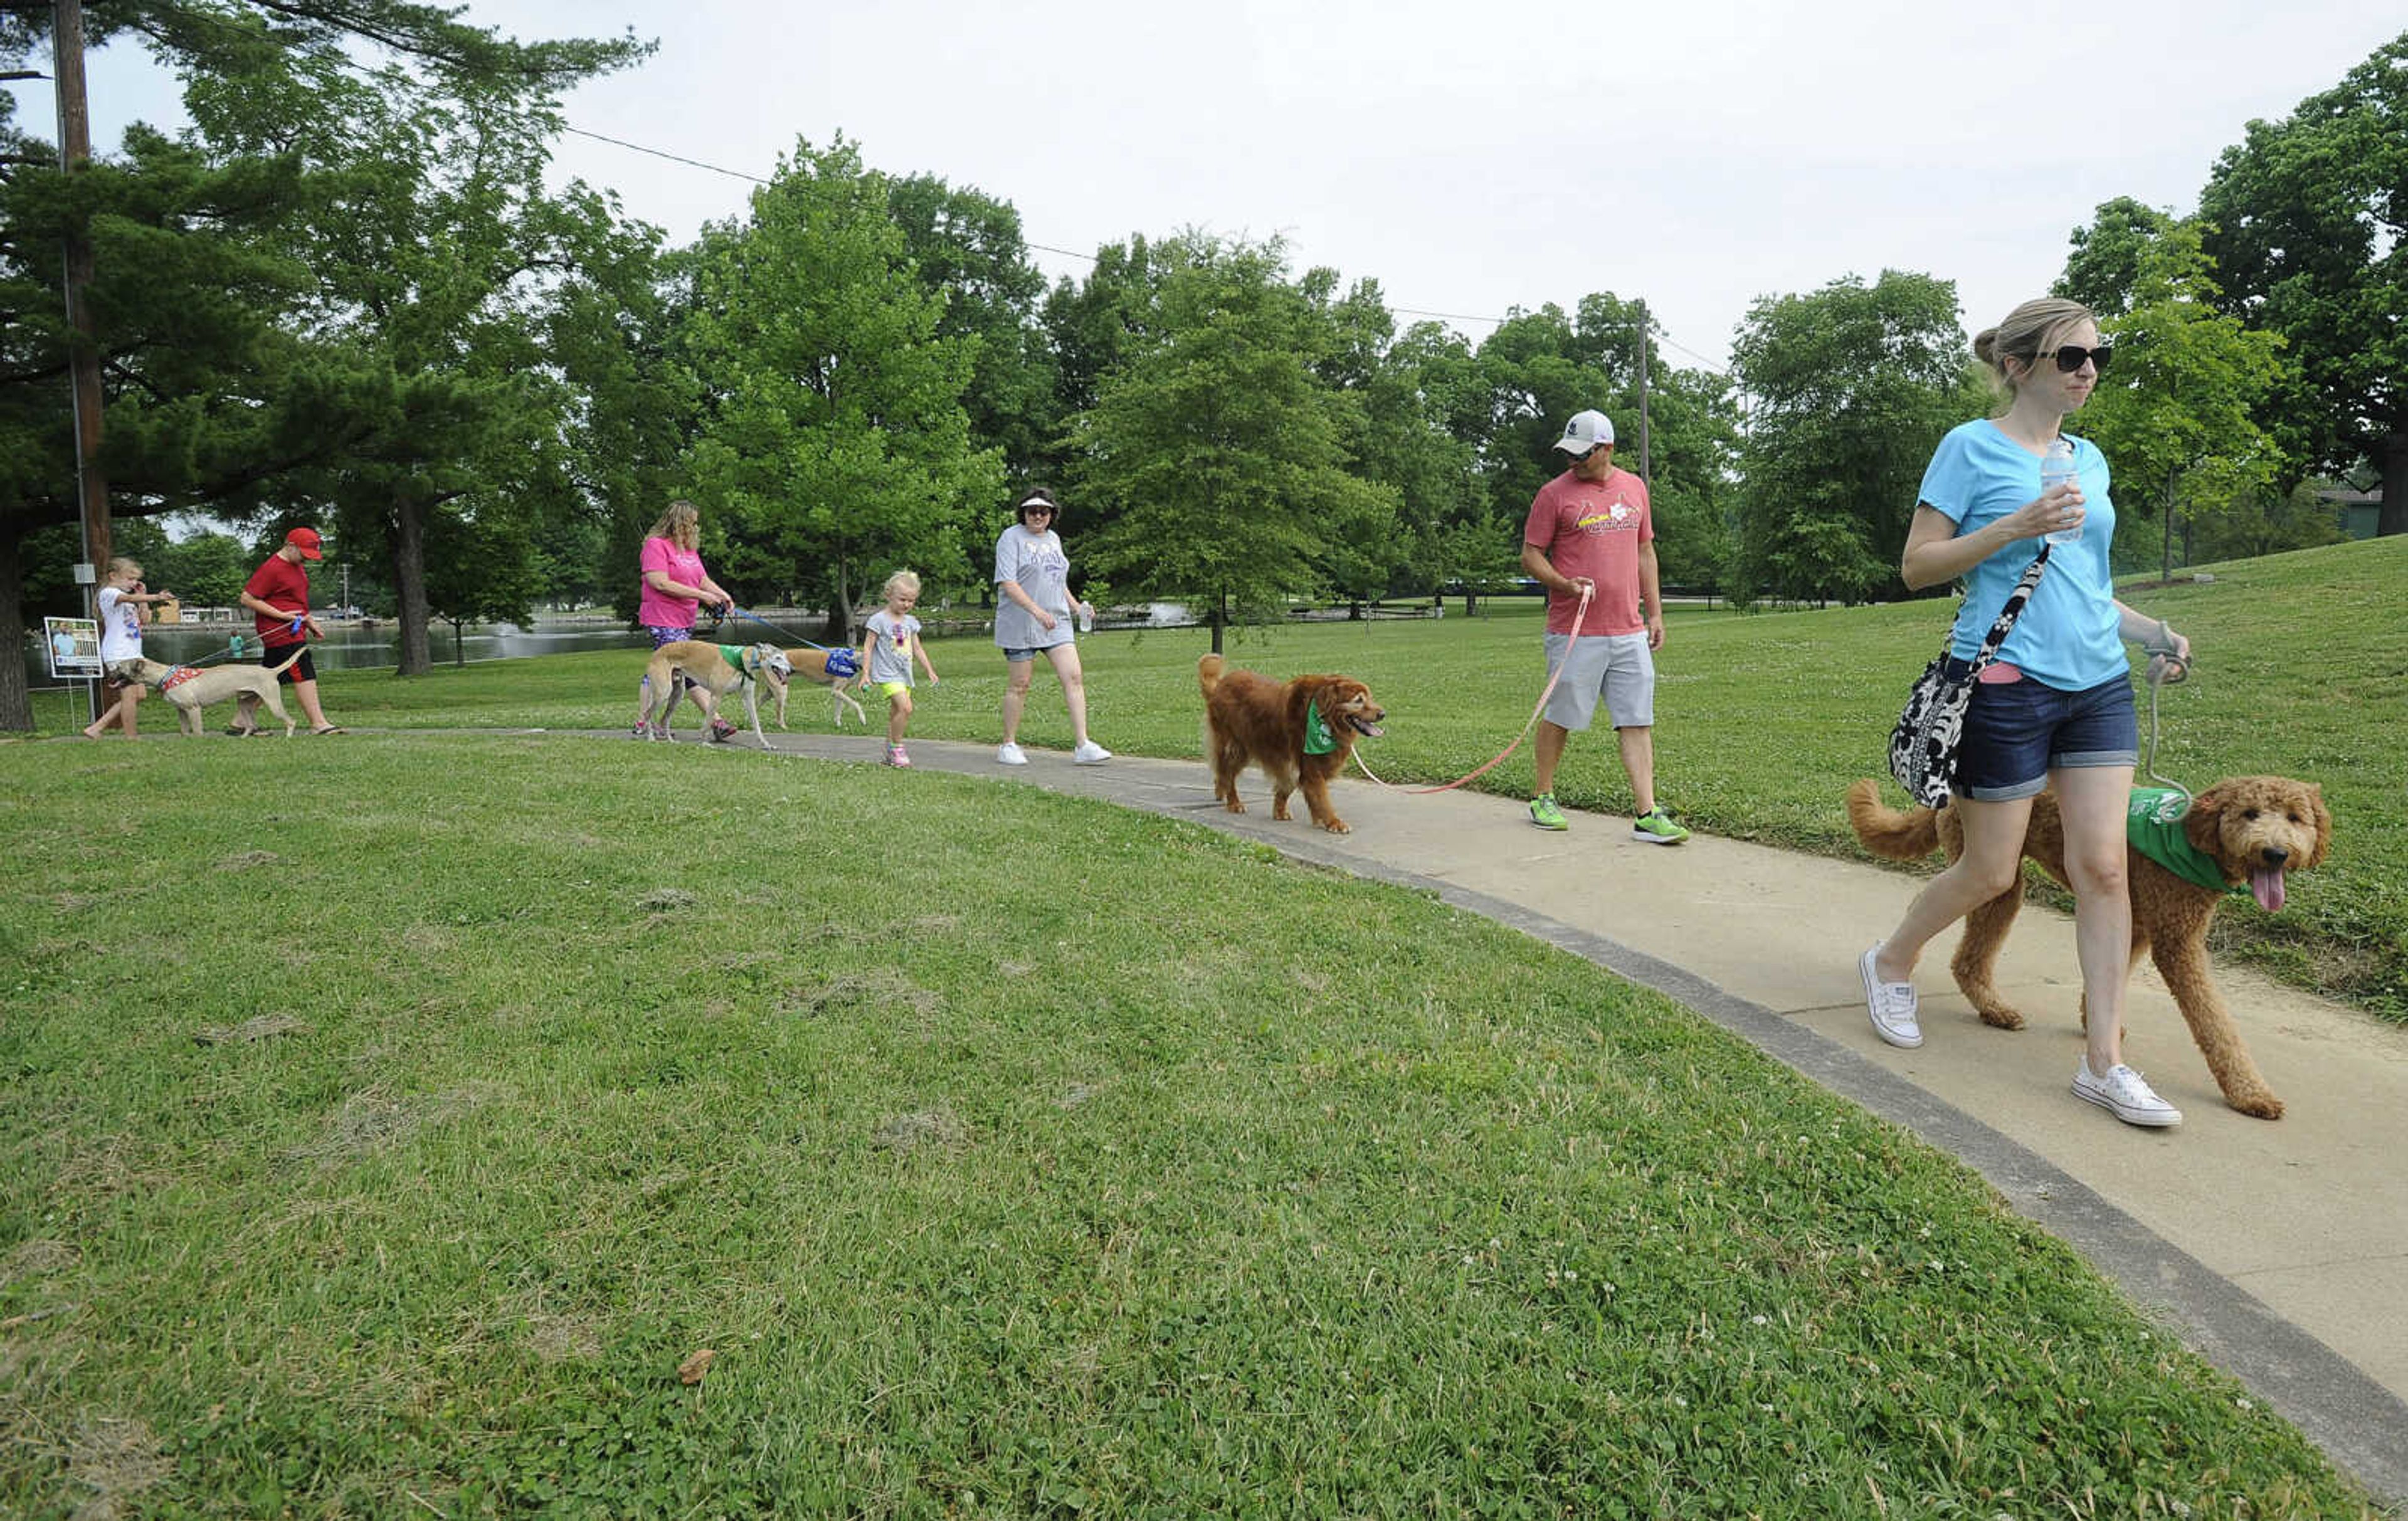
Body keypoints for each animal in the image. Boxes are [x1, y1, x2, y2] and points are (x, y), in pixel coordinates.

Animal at [127, 645, 308, 741]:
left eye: (121, 668)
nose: (112, 676)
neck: (166, 675)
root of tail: (271, 671)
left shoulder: (194, 709)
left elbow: (198, 731)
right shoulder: (181, 710)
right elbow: (184, 730)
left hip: (273, 702)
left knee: (291, 721)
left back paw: (288, 737)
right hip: (244, 703)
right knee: (250, 724)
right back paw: (243, 738)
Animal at [635, 640, 795, 745]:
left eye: (785, 657)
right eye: (778, 657)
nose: (791, 670)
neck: (743, 660)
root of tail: (657, 652)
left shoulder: (748, 698)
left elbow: (756, 723)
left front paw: (766, 744)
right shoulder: (716, 696)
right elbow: (707, 721)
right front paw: (705, 743)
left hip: (677, 694)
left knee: (665, 718)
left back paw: (670, 740)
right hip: (663, 693)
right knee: (648, 713)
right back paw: (651, 738)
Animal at [775, 645, 872, 731]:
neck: (850, 661)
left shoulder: (840, 692)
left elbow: (839, 709)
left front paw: (838, 725)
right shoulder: (836, 691)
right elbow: (856, 704)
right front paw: (862, 719)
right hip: (782, 690)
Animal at [1194, 655, 1386, 837]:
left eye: (1370, 698)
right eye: (1358, 700)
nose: (1383, 714)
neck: (1325, 719)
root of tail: (1220, 685)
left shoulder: (1293, 763)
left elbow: (1288, 787)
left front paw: (1282, 813)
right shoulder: (1309, 766)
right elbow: (1322, 797)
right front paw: (1333, 822)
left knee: (1223, 773)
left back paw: (1220, 791)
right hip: (1234, 747)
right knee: (1227, 775)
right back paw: (1234, 803)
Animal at [1839, 770, 2331, 1117]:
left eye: (2295, 818)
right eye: (2250, 814)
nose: (2276, 853)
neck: (2192, 840)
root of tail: (1961, 793)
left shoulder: (2136, 923)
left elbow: (2113, 973)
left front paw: (2096, 1023)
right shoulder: (2177, 943)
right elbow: (2216, 1025)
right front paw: (2250, 1093)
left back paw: (1986, 1006)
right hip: (1992, 869)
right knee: (1955, 937)